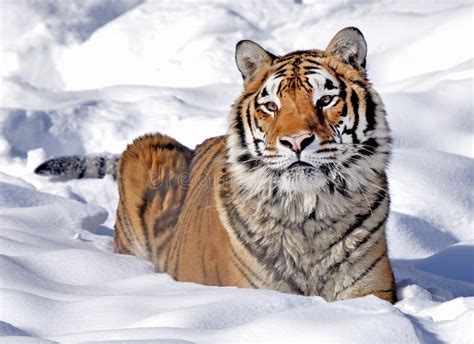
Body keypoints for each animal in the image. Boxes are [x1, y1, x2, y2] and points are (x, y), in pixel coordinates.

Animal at [35, 26, 396, 302]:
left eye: (326, 100)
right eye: (271, 106)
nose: (296, 142)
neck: (307, 214)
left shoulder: (371, 291)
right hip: (148, 147)